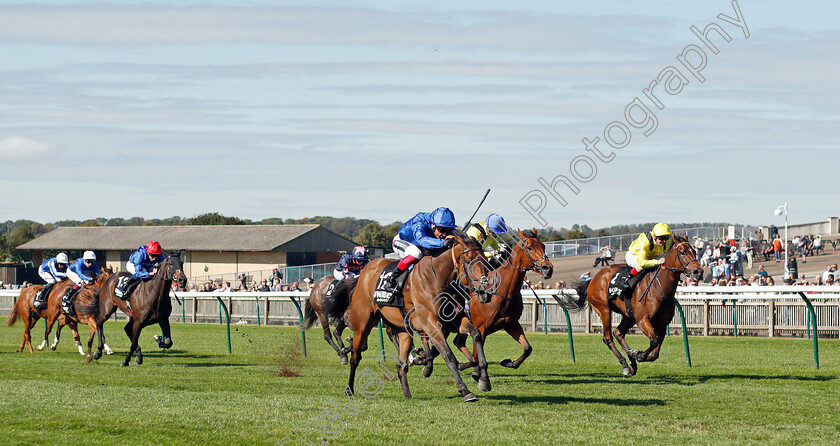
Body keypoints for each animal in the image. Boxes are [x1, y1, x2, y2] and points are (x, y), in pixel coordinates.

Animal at [334, 235, 492, 402]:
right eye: (468, 261)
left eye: (485, 260)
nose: (485, 292)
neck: (438, 277)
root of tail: (364, 272)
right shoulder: (432, 325)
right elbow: (449, 356)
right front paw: (465, 390)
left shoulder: (454, 321)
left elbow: (476, 334)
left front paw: (484, 380)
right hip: (363, 324)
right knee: (355, 357)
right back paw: (349, 387)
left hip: (403, 330)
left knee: (401, 364)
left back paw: (406, 393)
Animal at [560, 233, 704, 376]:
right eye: (682, 252)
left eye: (694, 251)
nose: (698, 271)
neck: (660, 288)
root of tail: (593, 279)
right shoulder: (642, 320)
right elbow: (653, 341)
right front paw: (638, 355)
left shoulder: (662, 324)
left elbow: (655, 353)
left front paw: (636, 354)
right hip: (604, 309)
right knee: (608, 338)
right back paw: (625, 364)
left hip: (628, 315)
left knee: (618, 333)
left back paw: (631, 362)